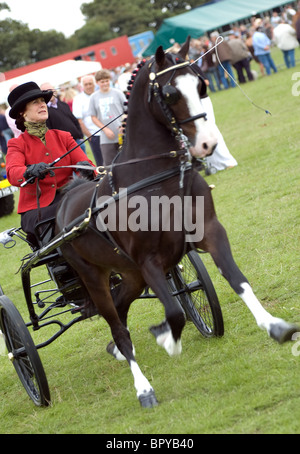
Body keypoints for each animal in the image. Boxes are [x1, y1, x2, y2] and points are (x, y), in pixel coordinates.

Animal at [55, 38, 298, 408]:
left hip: (130, 274)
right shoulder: (149, 261)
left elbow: (237, 280)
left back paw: (118, 351)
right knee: (117, 324)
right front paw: (166, 338)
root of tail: (65, 201)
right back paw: (142, 387)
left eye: (202, 86)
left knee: (121, 310)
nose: (208, 144)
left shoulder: (209, 233)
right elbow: (174, 311)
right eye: (170, 93)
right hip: (95, 276)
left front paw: (274, 326)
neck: (157, 178)